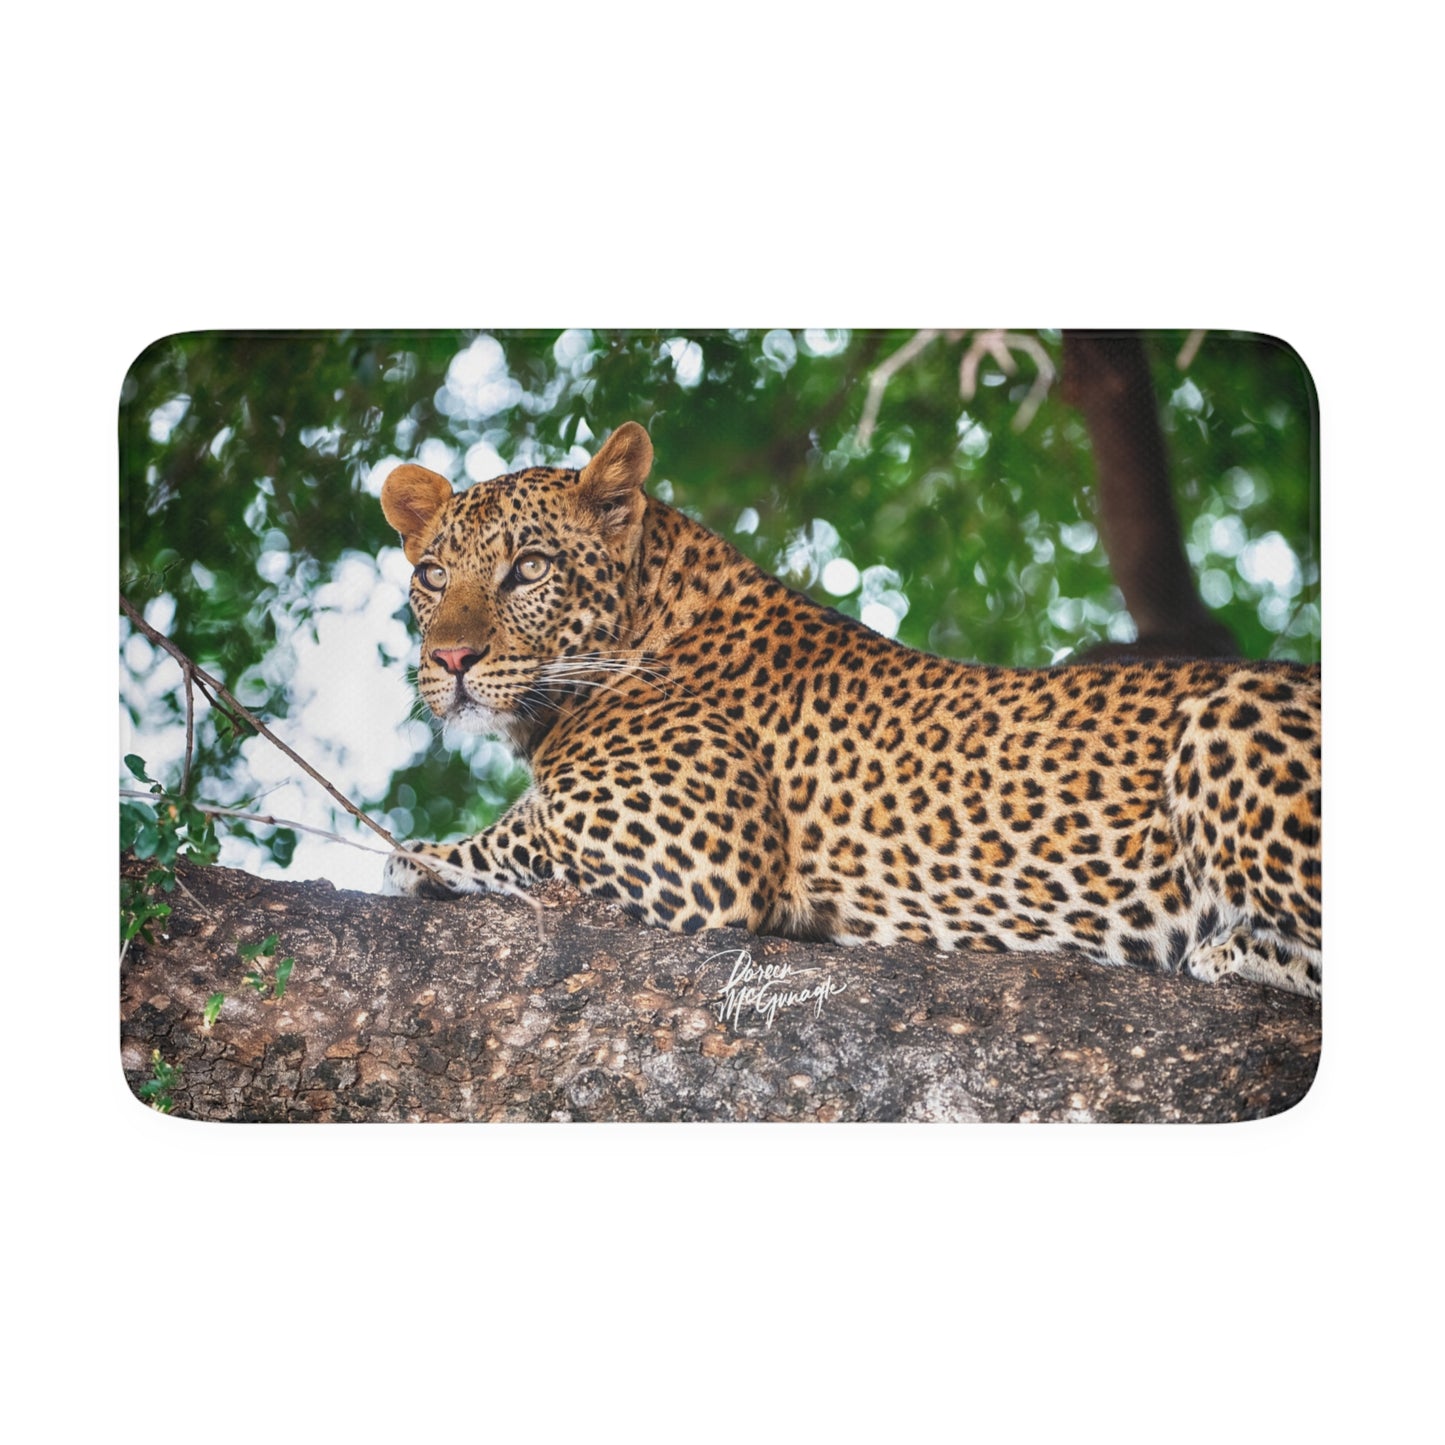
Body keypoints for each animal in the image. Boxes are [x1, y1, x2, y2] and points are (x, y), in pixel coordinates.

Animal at [378, 421, 1322, 998]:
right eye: (432, 575)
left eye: (529, 569)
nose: (450, 661)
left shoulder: (694, 850)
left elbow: (509, 832)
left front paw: (417, 857)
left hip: (1228, 712)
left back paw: (1229, 946)